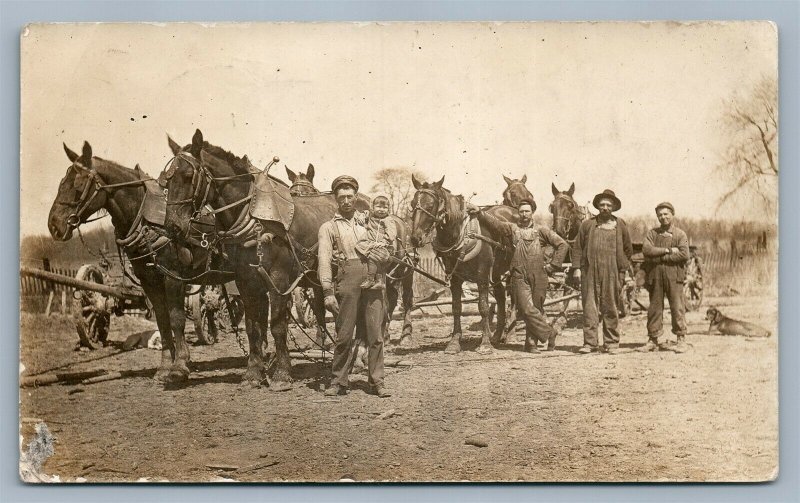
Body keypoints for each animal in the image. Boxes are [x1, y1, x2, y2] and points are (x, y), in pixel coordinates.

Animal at [48, 142, 233, 386]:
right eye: (62, 182)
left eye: (78, 187)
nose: (54, 225)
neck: (148, 220)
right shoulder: (149, 281)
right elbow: (163, 322)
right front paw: (164, 368)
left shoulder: (173, 277)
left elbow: (176, 319)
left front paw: (181, 365)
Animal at [410, 176, 516, 354]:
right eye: (412, 204)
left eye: (430, 205)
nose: (415, 238)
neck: (461, 235)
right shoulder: (455, 277)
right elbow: (456, 308)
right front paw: (454, 342)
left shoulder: (482, 275)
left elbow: (483, 307)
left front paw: (484, 343)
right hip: (495, 273)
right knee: (501, 296)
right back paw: (497, 335)